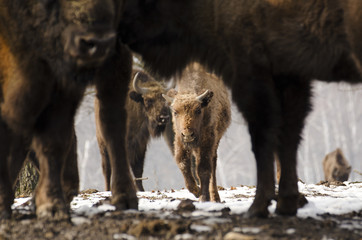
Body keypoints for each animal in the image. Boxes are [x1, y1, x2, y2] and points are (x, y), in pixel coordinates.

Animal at [163, 62, 230, 202]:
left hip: (215, 141)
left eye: (198, 110)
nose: (188, 134)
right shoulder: (179, 140)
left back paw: (214, 197)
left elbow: (204, 168)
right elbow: (183, 163)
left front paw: (203, 197)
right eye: (175, 112)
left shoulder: (207, 141)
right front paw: (196, 191)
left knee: (213, 164)